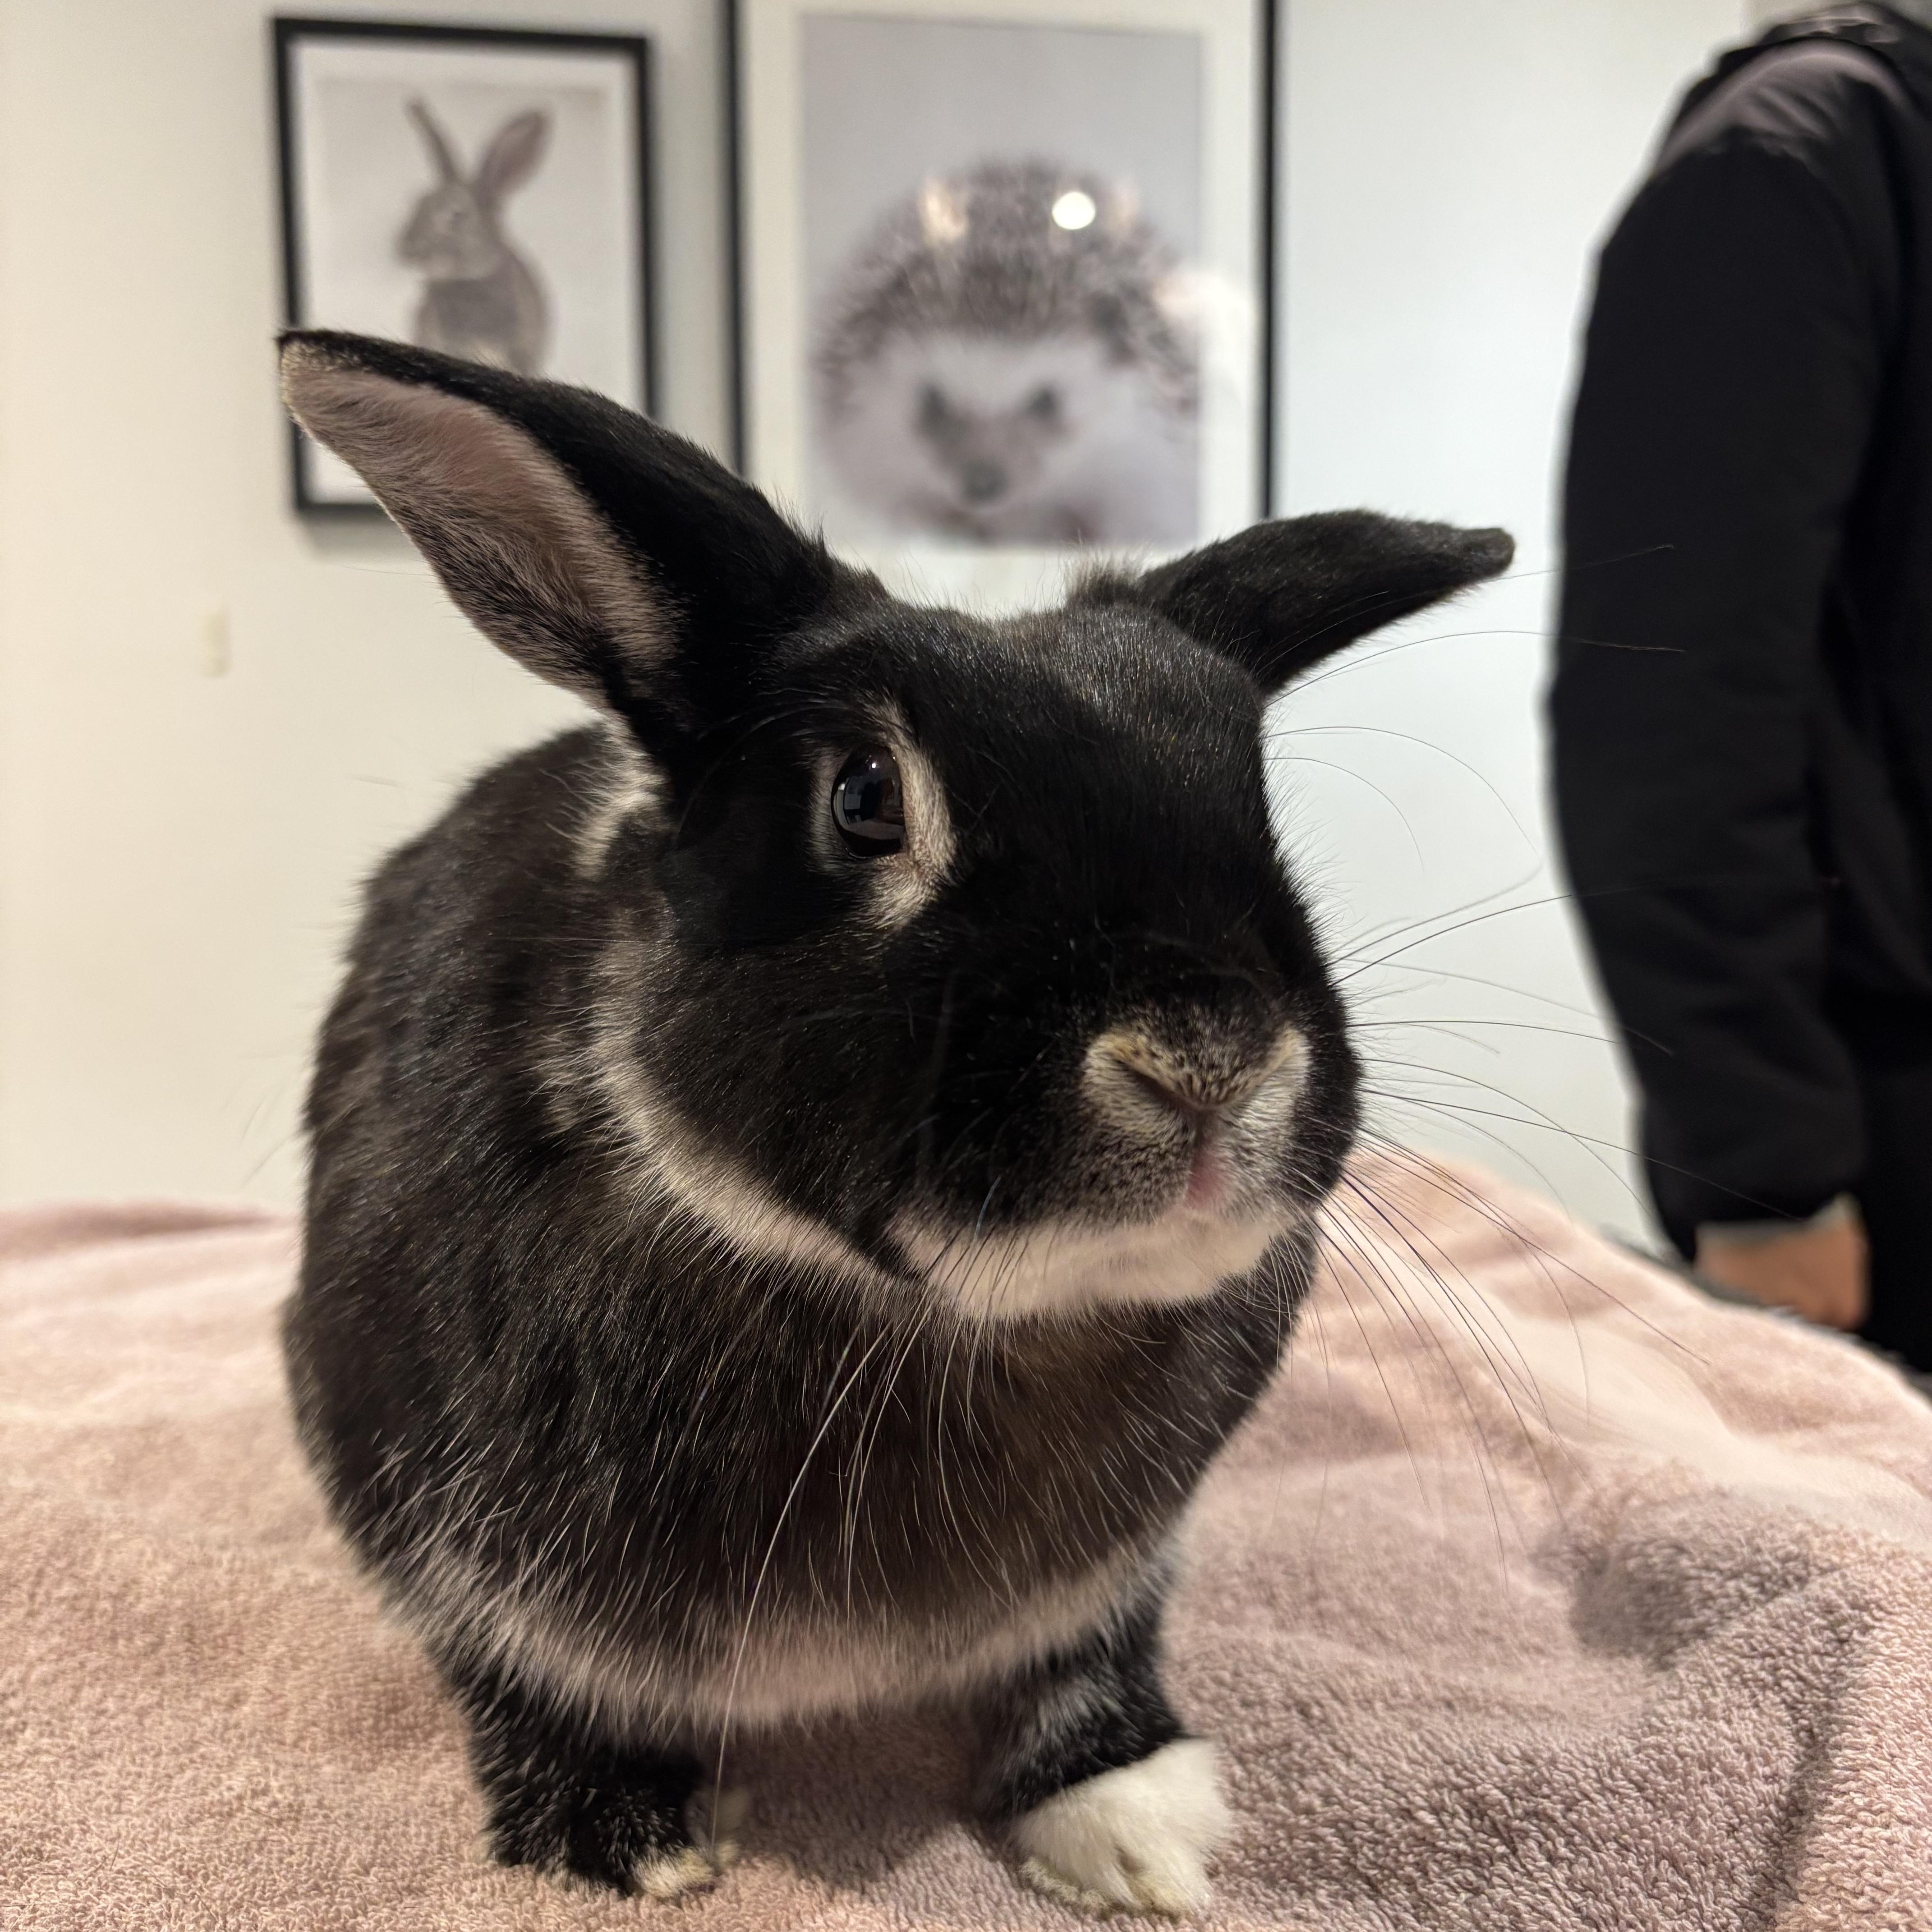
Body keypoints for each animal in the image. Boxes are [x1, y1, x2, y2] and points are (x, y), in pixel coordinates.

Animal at [279, 327, 1512, 1914]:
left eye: (1255, 804)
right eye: (865, 799)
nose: (1206, 1058)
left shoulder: (1121, 1569)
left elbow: (1095, 1653)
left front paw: (1129, 1821)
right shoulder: (436, 1521)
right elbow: (518, 1669)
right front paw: (625, 1838)